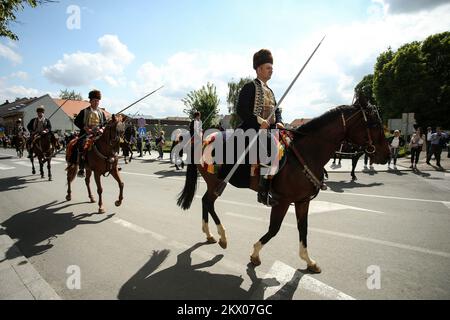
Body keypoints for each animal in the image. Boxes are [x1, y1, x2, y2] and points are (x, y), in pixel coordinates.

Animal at [176, 101, 390, 274]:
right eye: (374, 124)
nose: (387, 155)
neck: (305, 152)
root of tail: (204, 139)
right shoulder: (283, 201)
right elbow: (274, 229)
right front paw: (255, 254)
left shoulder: (302, 202)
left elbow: (303, 228)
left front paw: (309, 261)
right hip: (216, 182)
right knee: (209, 202)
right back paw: (222, 237)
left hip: (214, 182)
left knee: (205, 202)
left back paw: (210, 234)